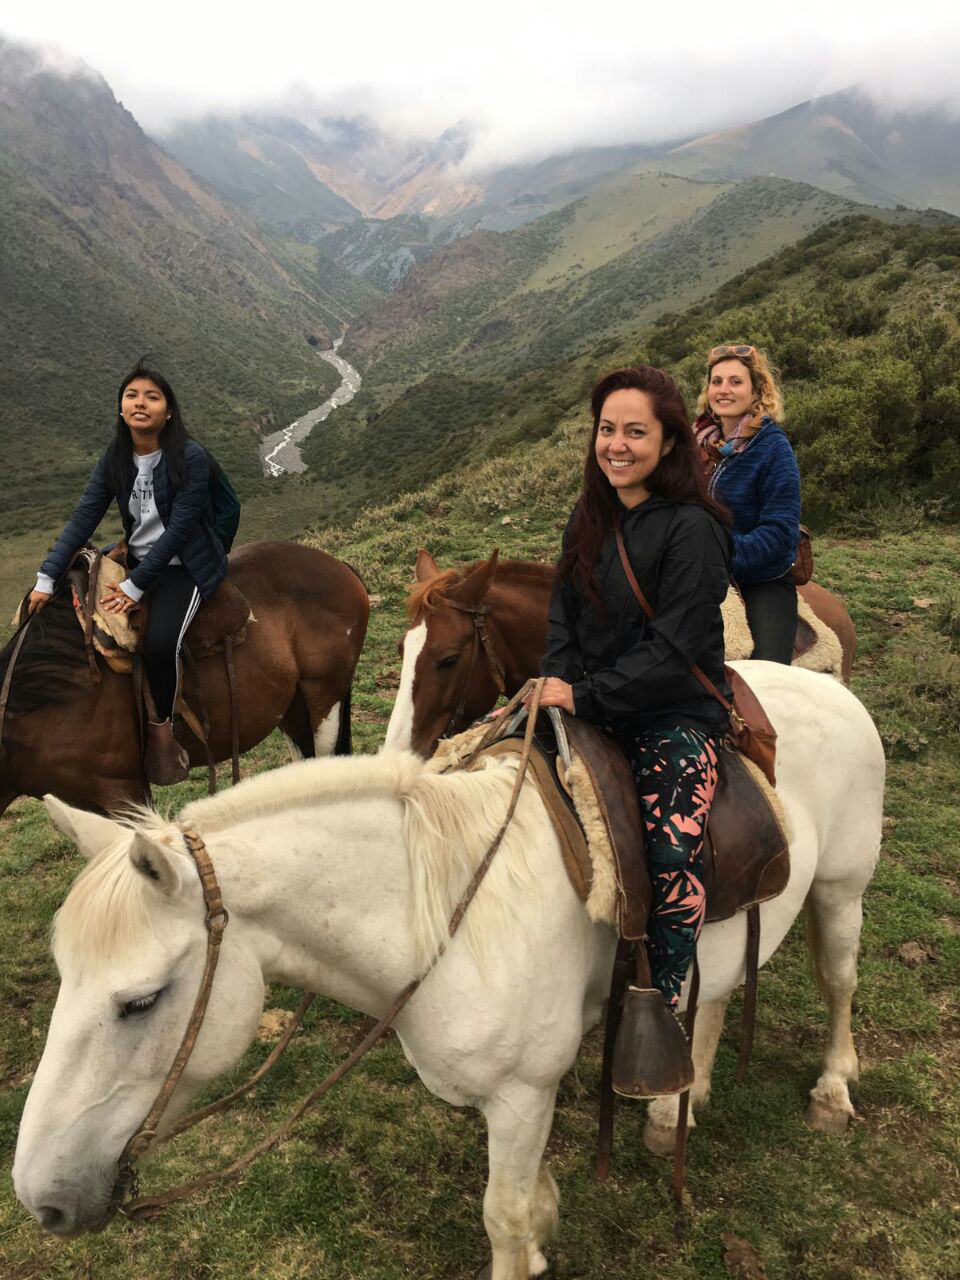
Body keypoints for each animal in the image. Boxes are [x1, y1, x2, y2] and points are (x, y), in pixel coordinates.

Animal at [15, 665, 885, 1274]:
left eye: (141, 1001)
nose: (39, 1201)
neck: (445, 916)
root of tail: (827, 685)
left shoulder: (523, 1091)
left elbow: (503, 1216)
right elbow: (527, 1206)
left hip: (842, 891)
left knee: (839, 982)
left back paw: (832, 1089)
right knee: (712, 998)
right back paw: (680, 1102)